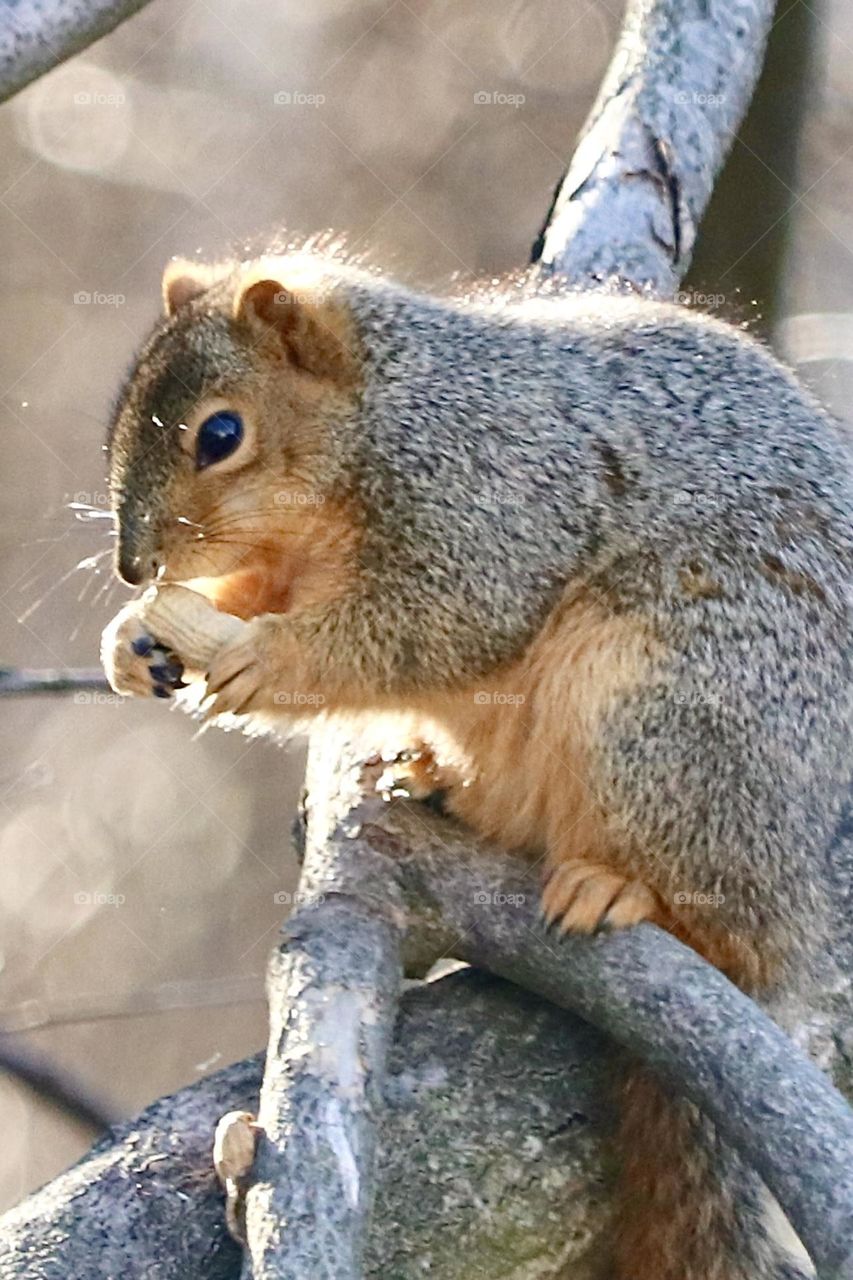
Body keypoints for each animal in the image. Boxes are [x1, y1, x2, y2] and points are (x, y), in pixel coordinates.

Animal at [97, 249, 845, 1280]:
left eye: (220, 433)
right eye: (122, 413)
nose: (133, 568)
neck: (386, 411)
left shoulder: (490, 501)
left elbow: (430, 624)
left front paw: (260, 657)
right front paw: (133, 641)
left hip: (667, 712)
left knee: (715, 914)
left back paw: (621, 887)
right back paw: (426, 771)